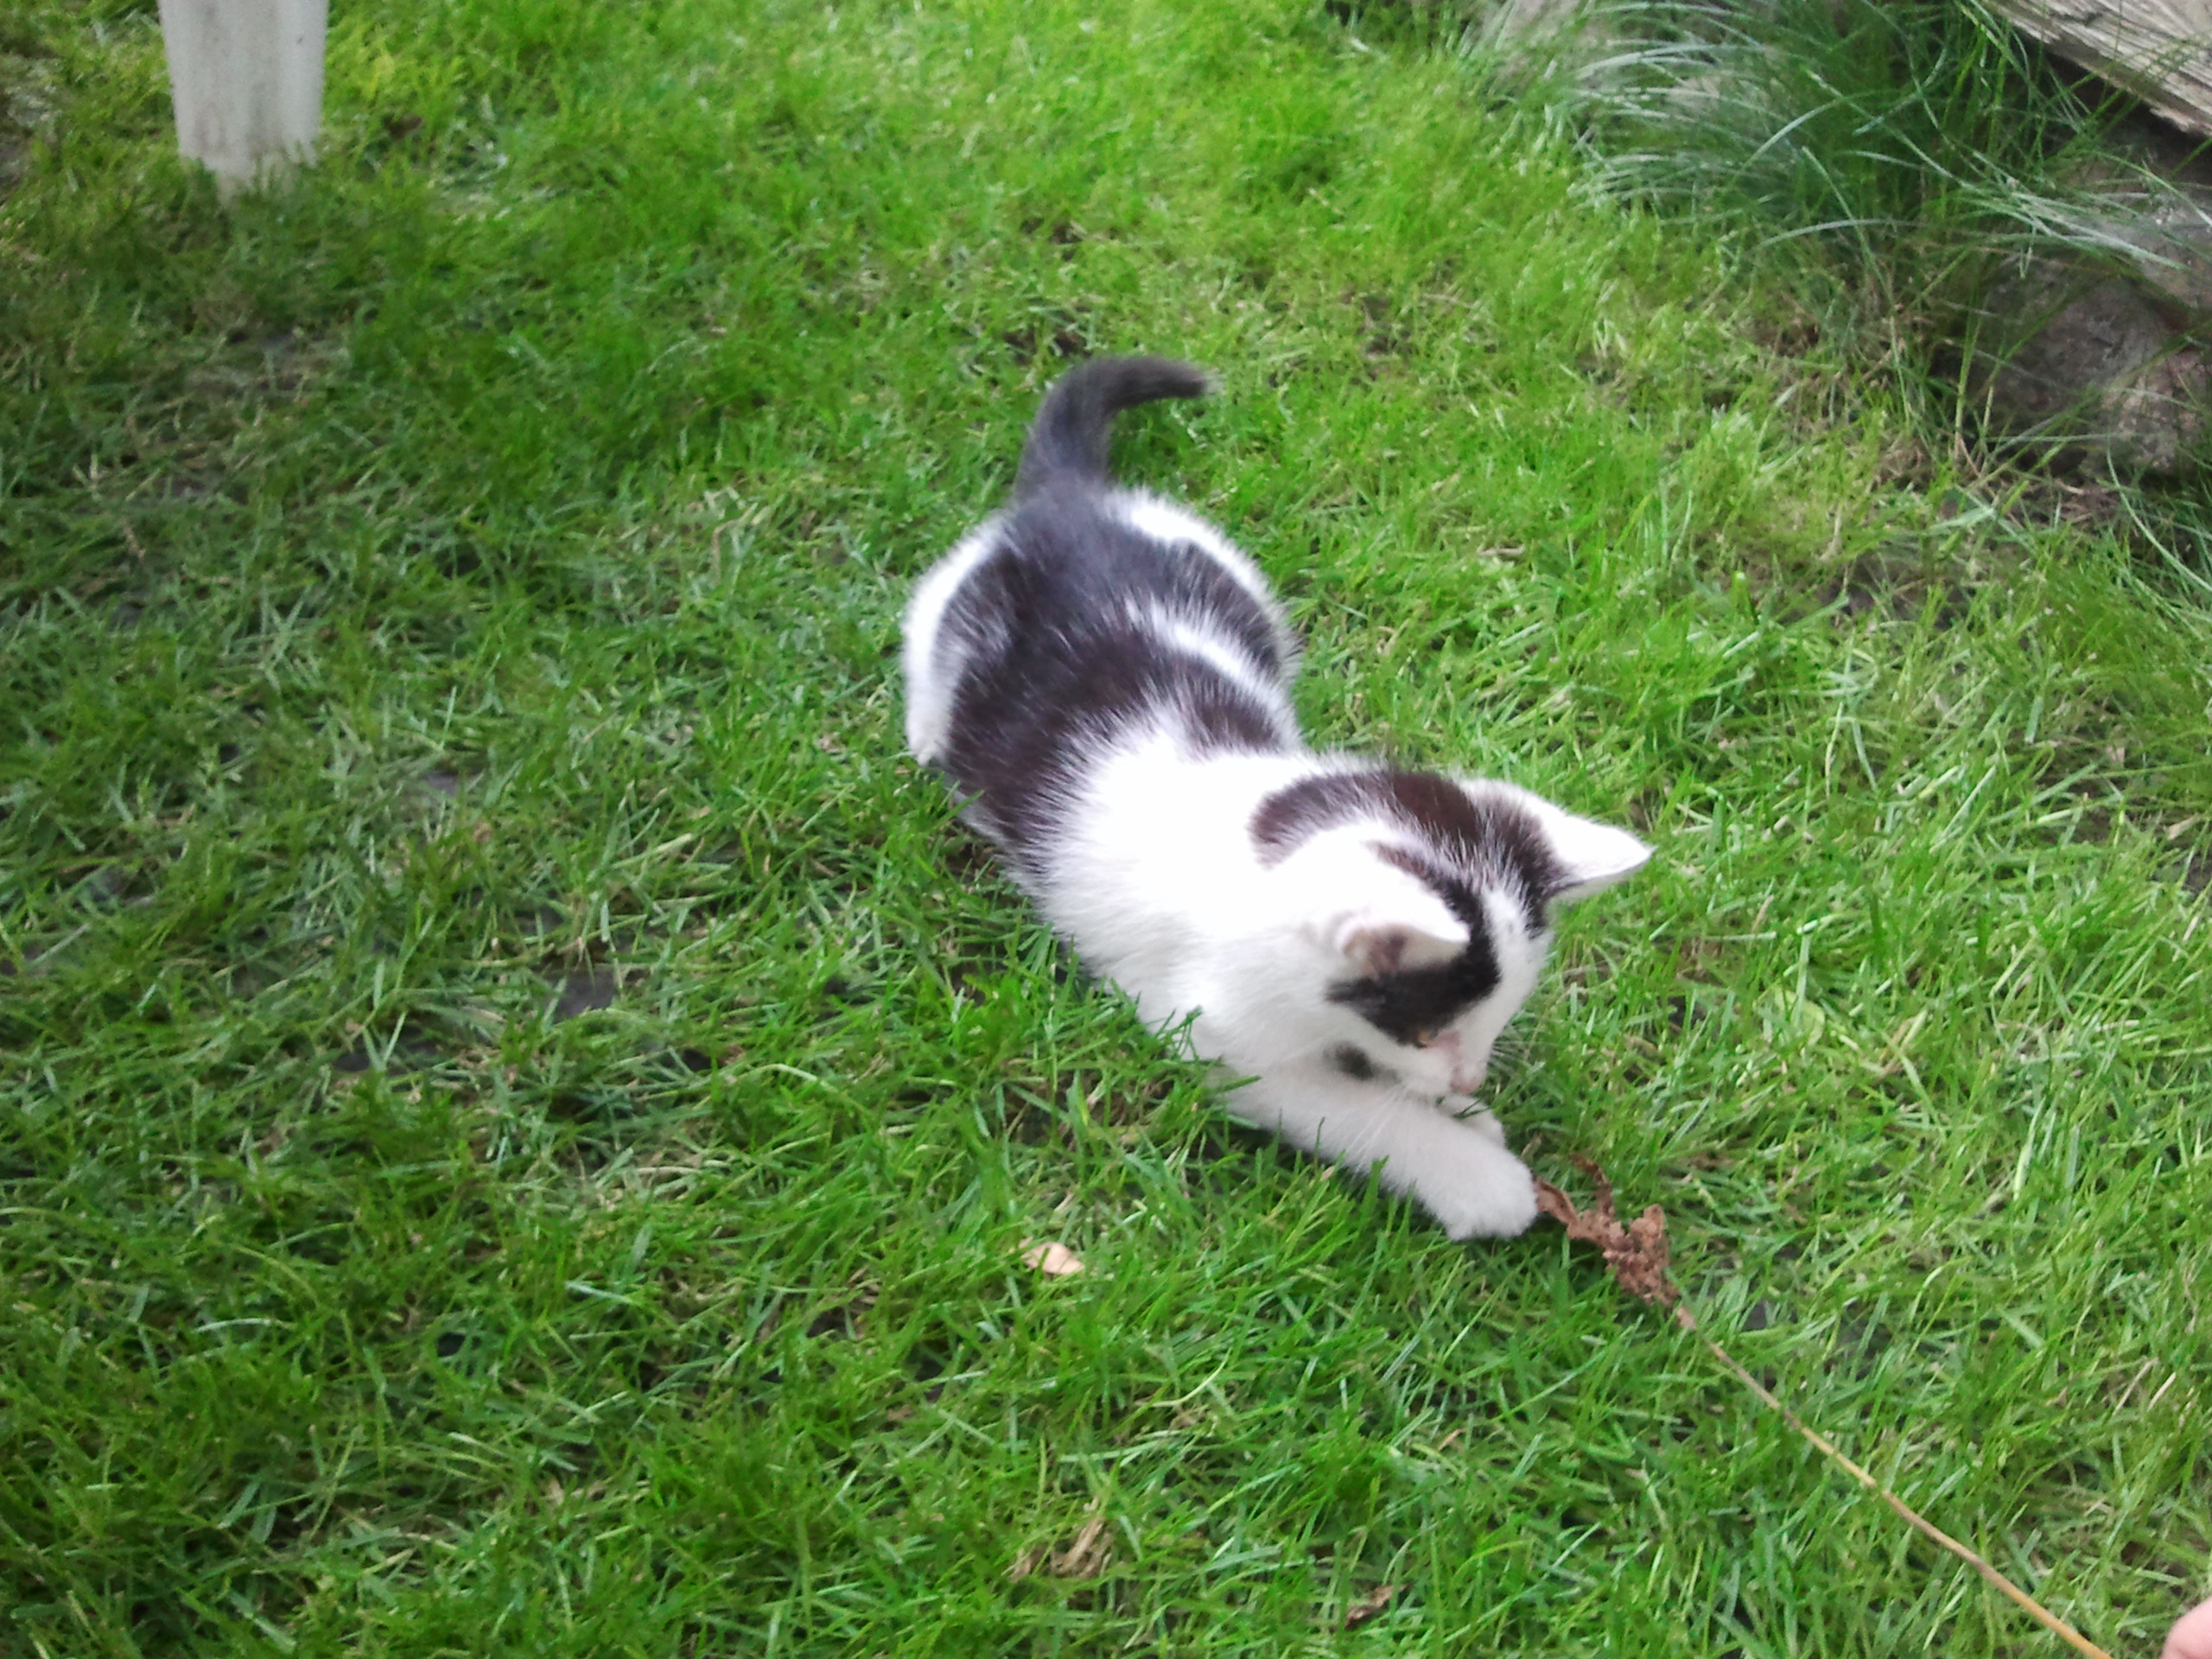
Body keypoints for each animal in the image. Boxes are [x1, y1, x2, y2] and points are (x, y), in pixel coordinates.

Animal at [901, 356, 1651, 1239]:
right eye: (1426, 1030)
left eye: (1492, 1022)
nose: (1466, 1079)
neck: (1267, 829)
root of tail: (1070, 500)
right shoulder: (1212, 1034)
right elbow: (1344, 1109)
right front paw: (1472, 1168)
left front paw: (1462, 1115)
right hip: (953, 607)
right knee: (923, 632)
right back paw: (926, 735)